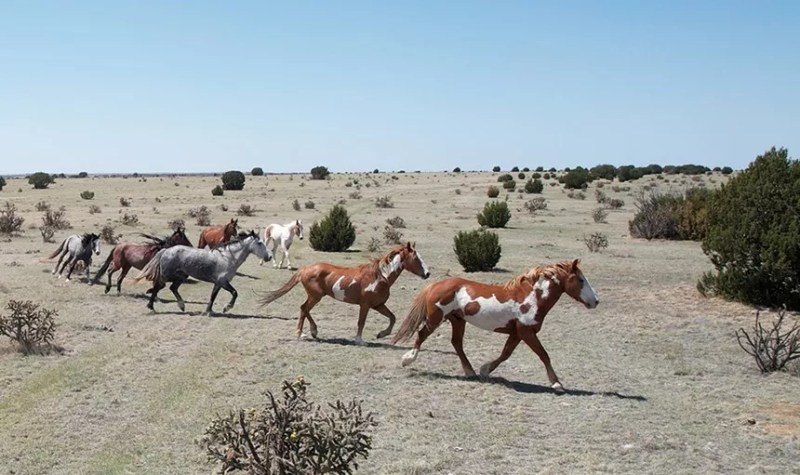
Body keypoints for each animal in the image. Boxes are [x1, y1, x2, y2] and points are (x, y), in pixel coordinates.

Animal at [133, 230, 272, 315]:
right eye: (260, 243)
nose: (269, 257)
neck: (227, 257)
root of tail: (166, 250)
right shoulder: (223, 282)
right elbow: (234, 293)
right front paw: (226, 308)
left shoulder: (218, 283)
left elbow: (213, 296)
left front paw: (208, 311)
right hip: (167, 275)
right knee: (158, 286)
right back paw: (151, 306)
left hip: (181, 277)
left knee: (172, 288)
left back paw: (182, 306)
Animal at [258, 242, 430, 343]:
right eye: (416, 258)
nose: (427, 273)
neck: (381, 277)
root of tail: (304, 269)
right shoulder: (365, 305)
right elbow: (361, 322)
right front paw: (359, 340)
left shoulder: (378, 305)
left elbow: (392, 318)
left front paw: (381, 334)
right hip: (315, 296)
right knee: (304, 309)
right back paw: (305, 333)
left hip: (314, 296)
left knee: (303, 309)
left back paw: (309, 332)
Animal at [392, 259, 599, 392]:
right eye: (581, 280)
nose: (595, 301)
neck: (532, 297)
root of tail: (435, 285)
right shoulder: (526, 332)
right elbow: (543, 355)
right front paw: (557, 384)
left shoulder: (517, 333)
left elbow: (506, 353)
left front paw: (485, 370)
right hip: (436, 318)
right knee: (422, 335)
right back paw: (407, 359)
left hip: (457, 320)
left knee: (456, 343)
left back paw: (470, 371)